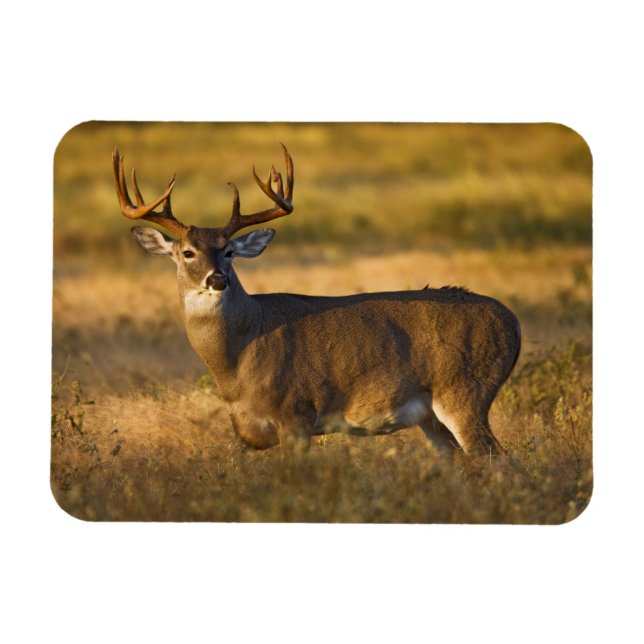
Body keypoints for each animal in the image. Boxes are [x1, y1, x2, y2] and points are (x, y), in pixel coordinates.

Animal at [112, 144, 521, 457]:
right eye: (187, 252)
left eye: (228, 252)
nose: (217, 279)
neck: (238, 360)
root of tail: (513, 323)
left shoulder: (295, 412)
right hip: (431, 417)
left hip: (465, 391)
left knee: (499, 461)